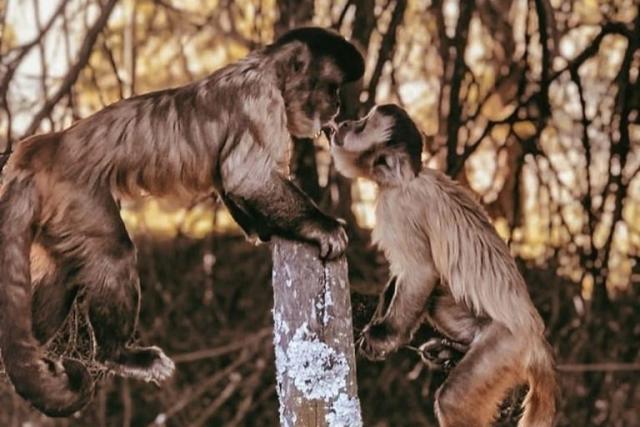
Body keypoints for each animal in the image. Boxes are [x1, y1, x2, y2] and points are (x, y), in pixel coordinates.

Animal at [0, 27, 364, 418]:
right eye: (331, 88)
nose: (337, 106)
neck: (267, 69)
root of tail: (40, 149)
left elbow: (229, 183)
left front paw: (267, 230)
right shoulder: (261, 102)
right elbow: (246, 178)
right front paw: (321, 227)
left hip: (56, 214)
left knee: (63, 270)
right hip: (75, 194)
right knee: (113, 253)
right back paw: (118, 354)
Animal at [330, 104, 556, 427]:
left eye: (361, 127)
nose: (347, 123)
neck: (405, 180)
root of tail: (537, 337)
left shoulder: (398, 206)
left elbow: (420, 272)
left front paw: (386, 336)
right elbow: (402, 276)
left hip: (508, 345)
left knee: (454, 400)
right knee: (437, 297)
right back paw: (455, 350)